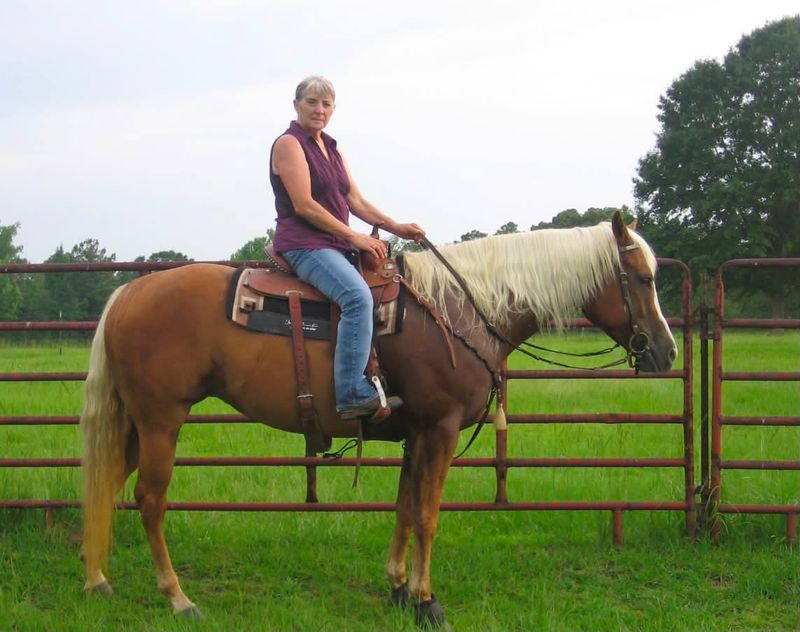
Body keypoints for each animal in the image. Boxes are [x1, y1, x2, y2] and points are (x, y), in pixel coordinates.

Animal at [80, 211, 676, 627]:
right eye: (643, 278)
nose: (667, 352)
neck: (460, 311)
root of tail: (129, 291)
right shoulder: (439, 429)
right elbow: (429, 514)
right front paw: (427, 600)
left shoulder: (416, 433)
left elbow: (405, 507)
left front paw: (397, 588)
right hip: (162, 422)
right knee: (149, 500)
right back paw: (178, 598)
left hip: (136, 423)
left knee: (106, 484)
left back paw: (97, 580)